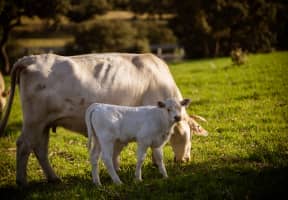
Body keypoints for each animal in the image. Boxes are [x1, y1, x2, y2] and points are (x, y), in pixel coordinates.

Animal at [0, 53, 208, 186]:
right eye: (190, 135)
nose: (186, 160)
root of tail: (30, 58)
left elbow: (118, 151)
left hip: (44, 124)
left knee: (40, 148)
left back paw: (54, 178)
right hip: (34, 122)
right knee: (24, 145)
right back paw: (22, 181)